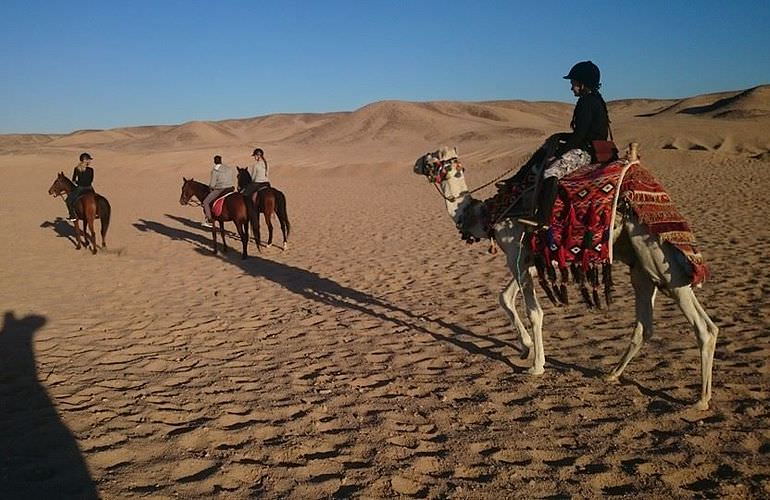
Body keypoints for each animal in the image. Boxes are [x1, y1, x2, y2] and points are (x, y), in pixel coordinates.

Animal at [414, 146, 720, 410]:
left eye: (431, 159)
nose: (415, 164)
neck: (490, 214)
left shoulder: (514, 250)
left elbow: (534, 312)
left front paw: (536, 365)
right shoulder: (531, 260)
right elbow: (505, 297)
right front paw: (525, 348)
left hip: (657, 257)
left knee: (703, 326)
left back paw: (701, 400)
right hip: (641, 265)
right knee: (645, 324)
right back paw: (611, 374)